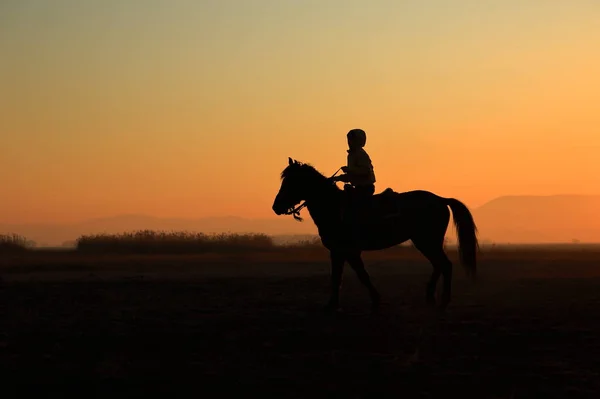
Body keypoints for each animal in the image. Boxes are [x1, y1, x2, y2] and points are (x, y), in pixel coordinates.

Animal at [272, 159, 478, 312]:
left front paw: (375, 300)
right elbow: (338, 277)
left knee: (445, 265)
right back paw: (430, 297)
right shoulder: (339, 251)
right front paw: (333, 304)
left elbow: (361, 275)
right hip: (425, 242)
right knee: (438, 265)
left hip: (428, 241)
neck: (335, 208)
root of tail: (441, 199)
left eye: (291, 182)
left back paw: (443, 301)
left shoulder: (349, 250)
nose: (276, 207)